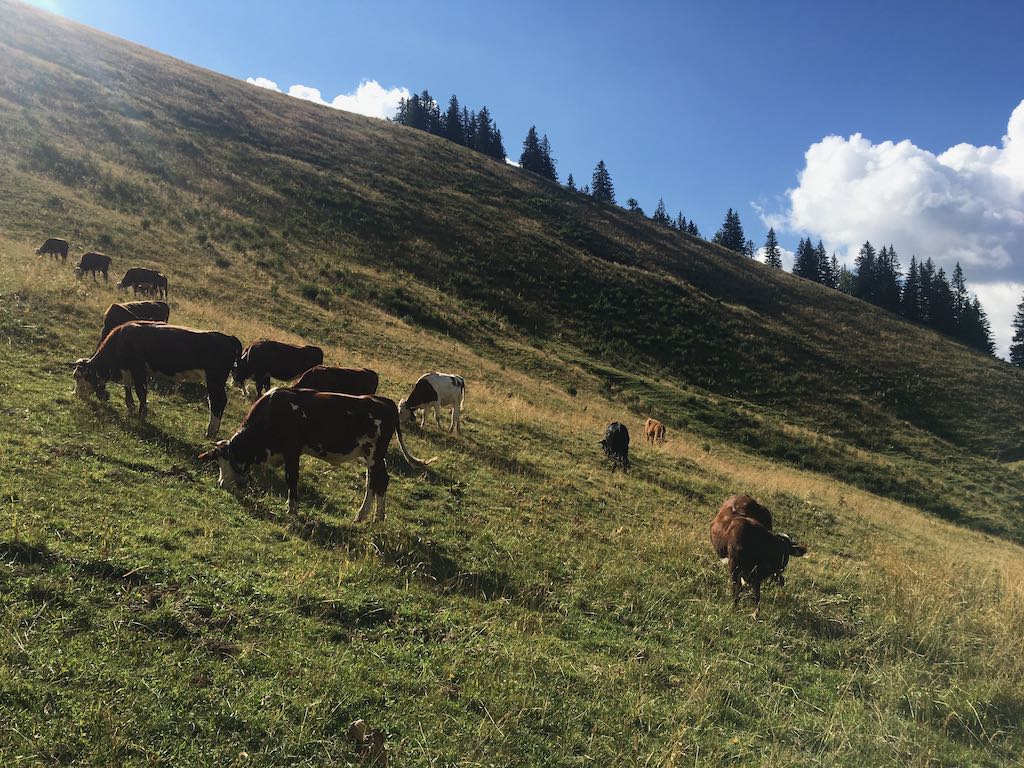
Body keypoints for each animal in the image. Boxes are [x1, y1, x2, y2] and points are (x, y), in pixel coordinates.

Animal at [70, 319, 241, 438]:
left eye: (79, 376)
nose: (76, 395)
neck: (121, 340)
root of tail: (228, 338)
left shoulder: (138, 370)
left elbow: (141, 392)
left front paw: (141, 416)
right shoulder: (129, 372)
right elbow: (128, 388)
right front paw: (131, 407)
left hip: (215, 380)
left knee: (218, 401)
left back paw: (210, 431)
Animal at [197, 387, 434, 520]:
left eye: (231, 463)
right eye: (218, 464)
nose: (222, 484)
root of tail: (386, 401)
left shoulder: (292, 450)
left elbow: (291, 478)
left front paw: (292, 509)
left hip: (375, 452)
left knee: (379, 480)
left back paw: (373, 517)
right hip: (371, 455)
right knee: (375, 481)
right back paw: (367, 516)